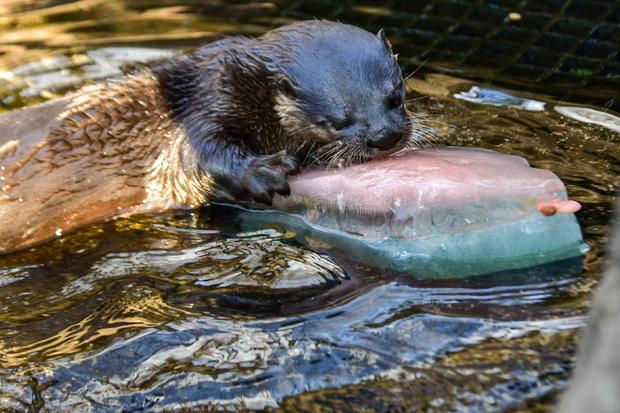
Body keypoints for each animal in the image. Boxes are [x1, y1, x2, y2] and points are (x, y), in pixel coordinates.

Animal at [0, 20, 422, 254]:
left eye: (395, 95)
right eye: (337, 120)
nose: (385, 135)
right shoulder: (208, 105)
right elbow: (205, 155)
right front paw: (263, 171)